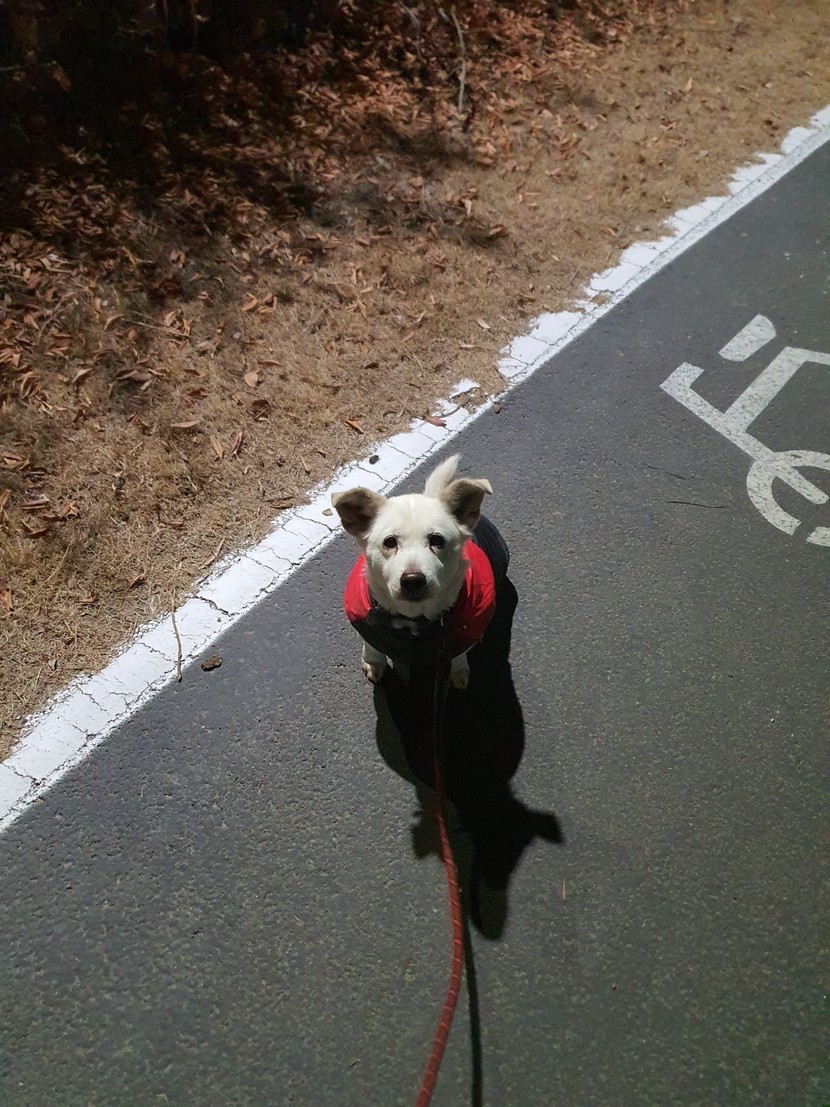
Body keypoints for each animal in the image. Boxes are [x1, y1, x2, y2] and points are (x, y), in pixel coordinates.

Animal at [332, 454, 508, 690]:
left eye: (437, 540)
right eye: (389, 542)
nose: (413, 580)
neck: (413, 620)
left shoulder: (456, 637)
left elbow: (457, 654)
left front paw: (458, 670)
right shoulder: (366, 623)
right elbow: (372, 646)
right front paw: (373, 662)